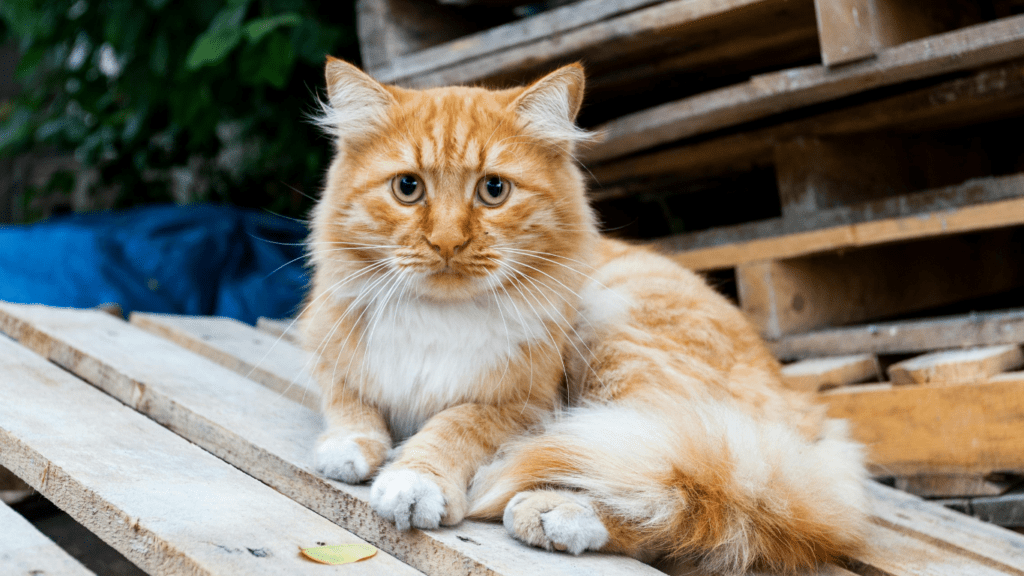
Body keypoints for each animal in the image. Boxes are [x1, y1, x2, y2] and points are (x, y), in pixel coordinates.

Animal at [299, 54, 868, 573]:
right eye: (407, 188)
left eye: (493, 190)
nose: (447, 243)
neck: (440, 317)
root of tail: (802, 417)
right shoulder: (331, 358)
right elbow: (351, 407)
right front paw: (348, 448)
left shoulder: (523, 408)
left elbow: (451, 428)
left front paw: (414, 482)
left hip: (619, 352)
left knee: (660, 499)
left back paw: (556, 512)